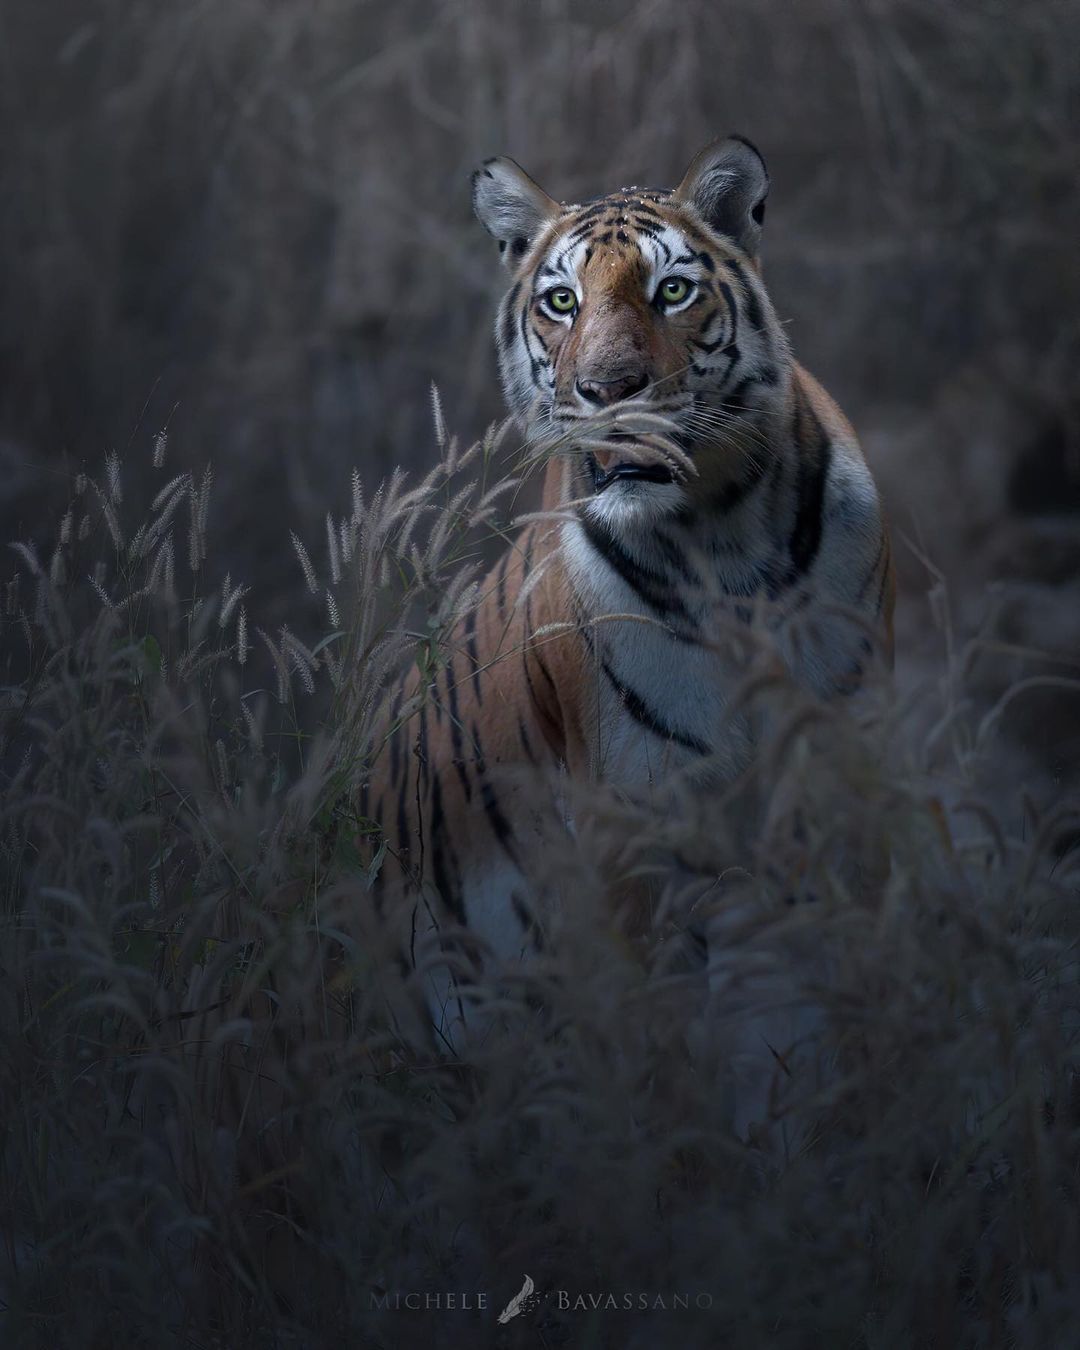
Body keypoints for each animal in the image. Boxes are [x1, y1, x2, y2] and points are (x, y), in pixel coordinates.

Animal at [361, 137, 896, 1036]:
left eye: (671, 290)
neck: (723, 531)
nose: (608, 392)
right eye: (562, 302)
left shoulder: (837, 769)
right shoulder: (631, 823)